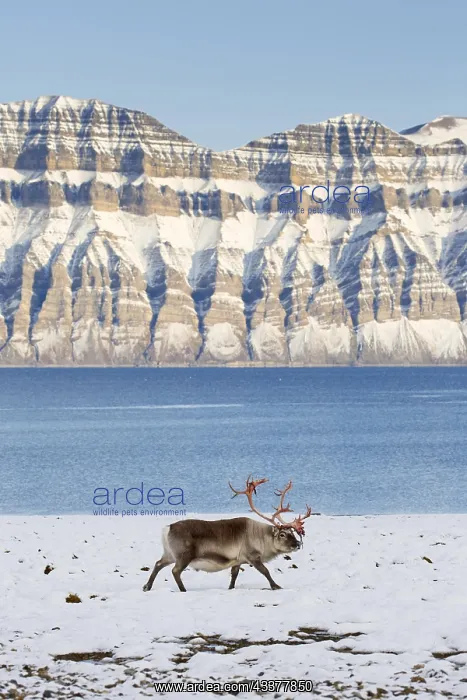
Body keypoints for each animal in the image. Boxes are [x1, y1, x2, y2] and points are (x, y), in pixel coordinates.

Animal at [142, 476, 311, 592]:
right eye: (282, 534)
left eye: (292, 532)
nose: (298, 544)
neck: (262, 538)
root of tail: (167, 528)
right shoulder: (252, 556)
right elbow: (266, 571)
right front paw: (276, 586)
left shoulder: (237, 560)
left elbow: (234, 575)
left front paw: (230, 588)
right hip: (184, 555)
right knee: (175, 571)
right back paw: (183, 590)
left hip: (170, 554)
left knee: (158, 564)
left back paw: (147, 586)